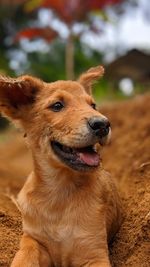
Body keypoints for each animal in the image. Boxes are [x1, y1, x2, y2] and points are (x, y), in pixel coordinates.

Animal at [0, 65, 122, 267]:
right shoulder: (33, 239)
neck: (59, 195)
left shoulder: (94, 252)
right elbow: (23, 257)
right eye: (57, 106)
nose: (103, 124)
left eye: (93, 105)